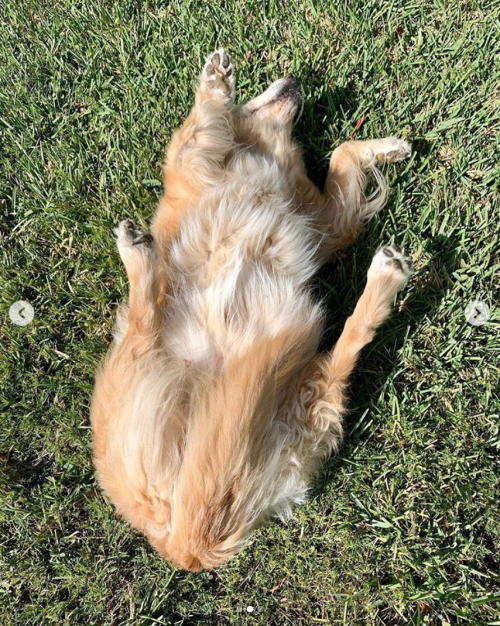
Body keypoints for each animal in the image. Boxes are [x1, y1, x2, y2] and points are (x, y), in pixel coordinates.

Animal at [92, 48, 412, 572]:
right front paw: (215, 86)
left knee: (346, 347)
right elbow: (203, 125)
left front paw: (385, 147)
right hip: (133, 364)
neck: (259, 152)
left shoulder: (323, 223)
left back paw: (386, 276)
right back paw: (138, 253)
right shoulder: (194, 158)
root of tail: (183, 544)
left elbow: (341, 152)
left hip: (306, 401)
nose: (296, 79)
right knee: (143, 316)